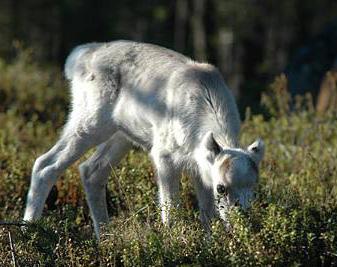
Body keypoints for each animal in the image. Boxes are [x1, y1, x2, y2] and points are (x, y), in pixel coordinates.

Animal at [23, 41, 264, 239]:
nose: (241, 223)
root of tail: (80, 56)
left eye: (254, 186)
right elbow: (171, 210)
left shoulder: (200, 169)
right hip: (91, 122)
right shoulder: (164, 156)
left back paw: (106, 239)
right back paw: (30, 232)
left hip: (121, 136)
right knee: (46, 164)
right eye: (221, 188)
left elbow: (208, 216)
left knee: (91, 171)